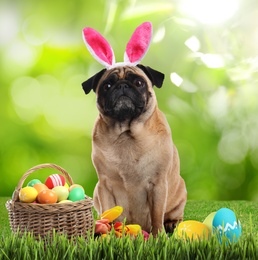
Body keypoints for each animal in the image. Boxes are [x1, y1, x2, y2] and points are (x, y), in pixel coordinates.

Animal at [81, 22, 186, 236]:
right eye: (107, 85)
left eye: (138, 82)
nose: (122, 86)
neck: (126, 134)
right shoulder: (104, 185)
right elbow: (108, 211)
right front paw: (106, 232)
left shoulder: (158, 185)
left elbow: (157, 214)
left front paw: (158, 236)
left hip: (180, 190)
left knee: (172, 213)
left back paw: (172, 223)